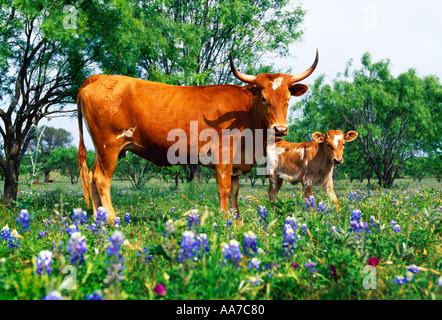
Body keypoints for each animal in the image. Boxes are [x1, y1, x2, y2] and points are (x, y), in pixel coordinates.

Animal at [77, 51, 318, 224]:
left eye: (288, 99)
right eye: (264, 98)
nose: (280, 129)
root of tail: (98, 78)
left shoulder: (237, 163)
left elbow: (235, 193)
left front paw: (237, 222)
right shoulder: (223, 157)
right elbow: (224, 190)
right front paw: (225, 220)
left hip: (101, 149)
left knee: (91, 176)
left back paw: (98, 219)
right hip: (109, 146)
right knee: (101, 179)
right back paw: (110, 219)